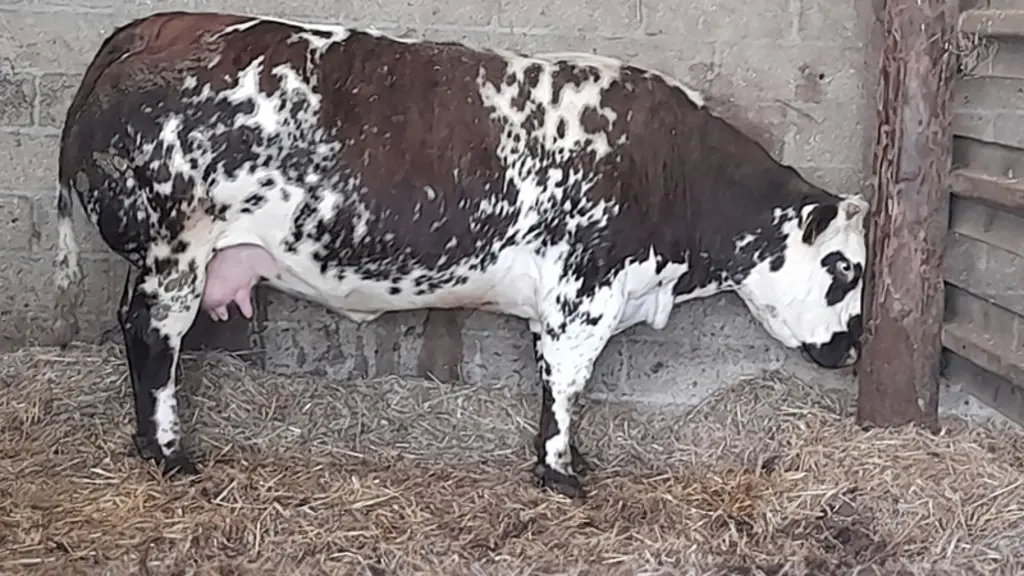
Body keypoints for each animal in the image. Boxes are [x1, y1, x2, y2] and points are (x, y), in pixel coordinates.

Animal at [52, 10, 868, 499]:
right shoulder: (583, 297)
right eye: (843, 268)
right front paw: (562, 475)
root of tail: (147, 30)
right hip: (174, 251)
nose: (857, 347)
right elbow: (567, 388)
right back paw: (167, 452)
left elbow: (555, 389)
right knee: (152, 341)